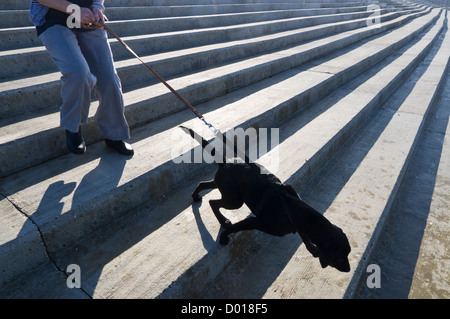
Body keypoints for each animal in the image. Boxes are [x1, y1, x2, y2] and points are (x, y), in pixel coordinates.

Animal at [179, 126, 352, 274]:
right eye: (340, 257)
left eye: (348, 253)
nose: (349, 269)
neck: (291, 208)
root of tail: (225, 162)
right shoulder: (256, 222)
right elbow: (236, 227)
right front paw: (224, 236)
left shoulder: (296, 225)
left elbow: (305, 236)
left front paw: (312, 249)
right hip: (234, 200)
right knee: (213, 202)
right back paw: (223, 220)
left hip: (226, 189)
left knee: (204, 184)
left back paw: (196, 196)